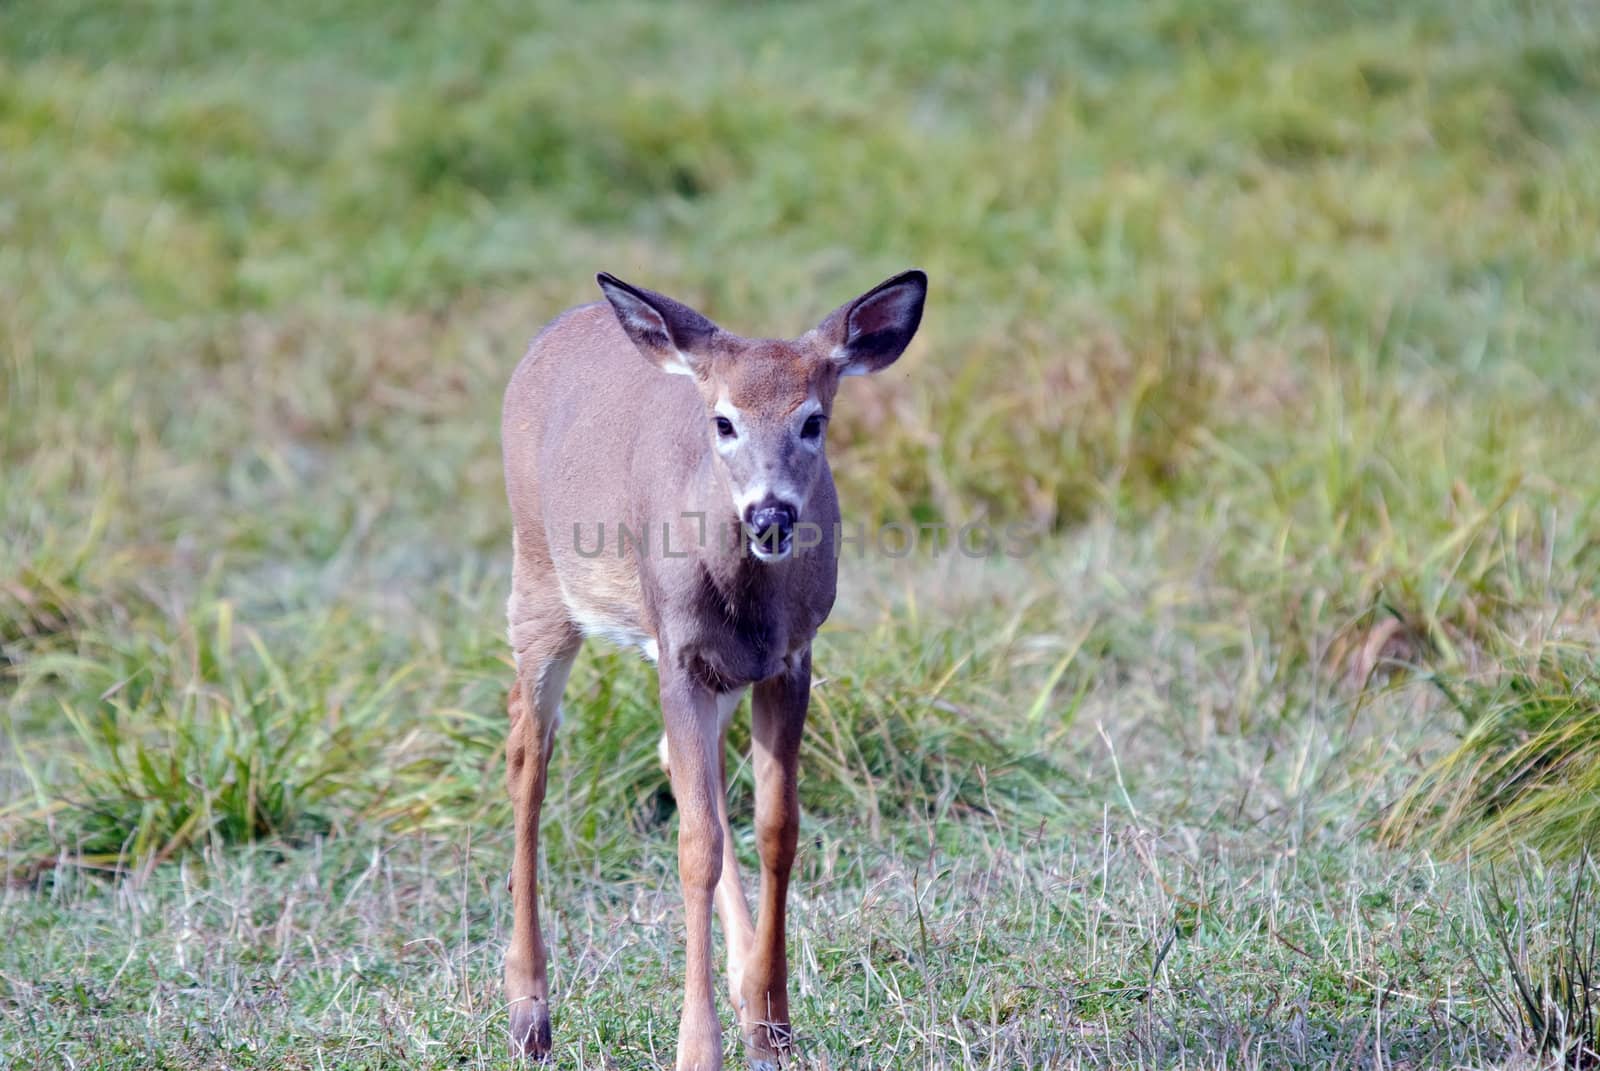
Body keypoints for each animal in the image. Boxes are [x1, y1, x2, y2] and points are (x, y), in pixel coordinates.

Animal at [496, 265, 928, 1062]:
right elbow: (695, 843)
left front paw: (771, 1022)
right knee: (525, 755)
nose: (770, 515)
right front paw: (698, 1047)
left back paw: (739, 985)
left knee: (673, 764)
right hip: (539, 579)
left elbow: (776, 827)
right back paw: (529, 1015)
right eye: (724, 422)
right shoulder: (678, 654)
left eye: (813, 420)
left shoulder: (789, 657)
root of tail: (559, 327)